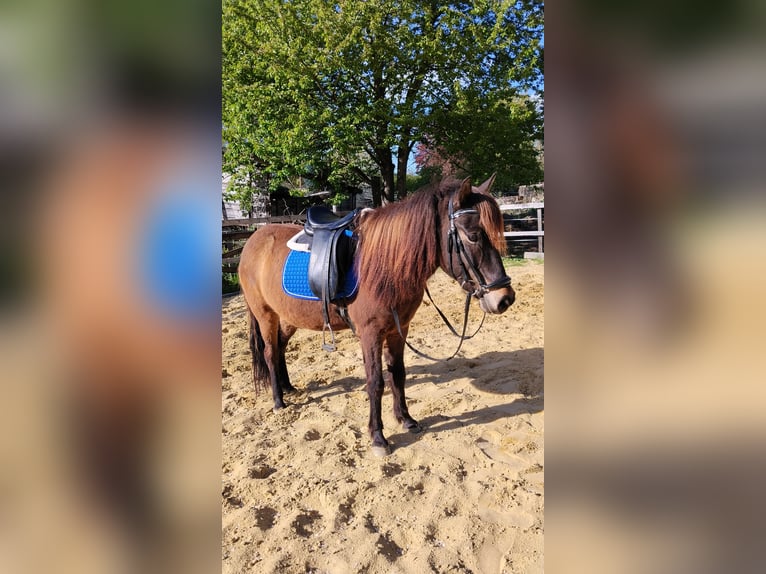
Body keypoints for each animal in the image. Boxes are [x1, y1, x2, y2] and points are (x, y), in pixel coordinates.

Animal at [237, 175, 515, 455]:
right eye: (473, 236)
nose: (505, 298)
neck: (387, 266)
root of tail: (252, 240)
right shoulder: (370, 334)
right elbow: (376, 382)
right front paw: (378, 437)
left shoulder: (398, 330)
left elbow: (398, 375)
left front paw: (406, 419)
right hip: (265, 315)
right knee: (270, 353)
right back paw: (278, 401)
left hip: (288, 317)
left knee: (280, 348)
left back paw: (287, 387)